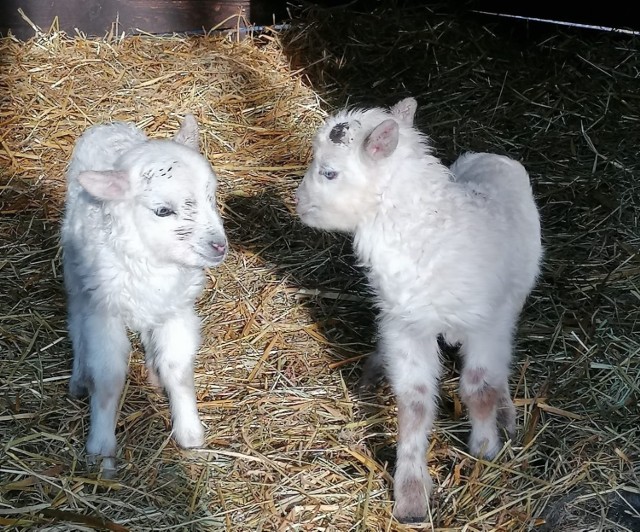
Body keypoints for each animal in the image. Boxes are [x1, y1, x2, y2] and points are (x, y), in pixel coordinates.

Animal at [62, 113, 228, 474]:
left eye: (211, 197)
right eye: (163, 211)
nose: (218, 246)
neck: (155, 262)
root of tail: (109, 124)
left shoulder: (177, 311)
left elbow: (178, 369)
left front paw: (190, 433)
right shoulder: (105, 314)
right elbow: (108, 378)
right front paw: (102, 450)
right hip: (76, 278)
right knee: (76, 322)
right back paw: (79, 377)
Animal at [296, 97, 540, 520]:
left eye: (329, 172)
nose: (298, 203)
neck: (428, 230)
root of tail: (490, 155)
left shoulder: (485, 324)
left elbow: (479, 389)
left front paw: (484, 448)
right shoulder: (406, 326)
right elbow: (414, 402)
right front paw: (411, 496)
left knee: (499, 369)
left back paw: (506, 413)